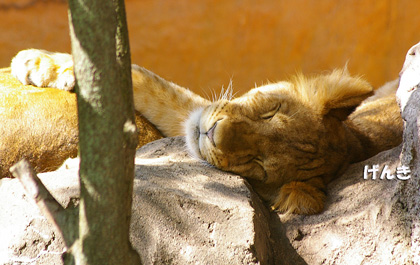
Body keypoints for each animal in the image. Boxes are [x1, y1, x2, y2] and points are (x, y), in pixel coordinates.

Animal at [4, 49, 404, 213]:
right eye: (269, 111)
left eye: (257, 165)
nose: (212, 133)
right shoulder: (194, 109)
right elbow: (142, 79)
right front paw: (42, 62)